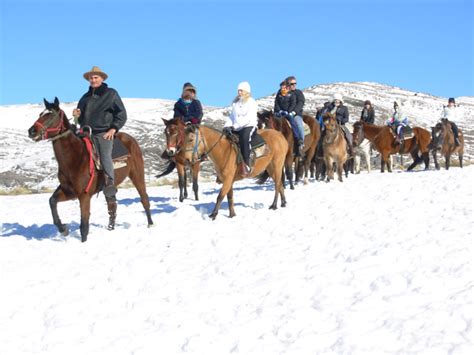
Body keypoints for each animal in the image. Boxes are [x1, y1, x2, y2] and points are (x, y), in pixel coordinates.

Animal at [27, 98, 154, 242]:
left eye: (51, 115)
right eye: (40, 114)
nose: (31, 131)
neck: (75, 157)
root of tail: (131, 140)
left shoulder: (84, 195)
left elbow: (84, 224)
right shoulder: (68, 191)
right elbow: (52, 201)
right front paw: (63, 229)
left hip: (137, 175)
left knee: (144, 199)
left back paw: (150, 224)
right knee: (112, 204)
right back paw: (111, 227)